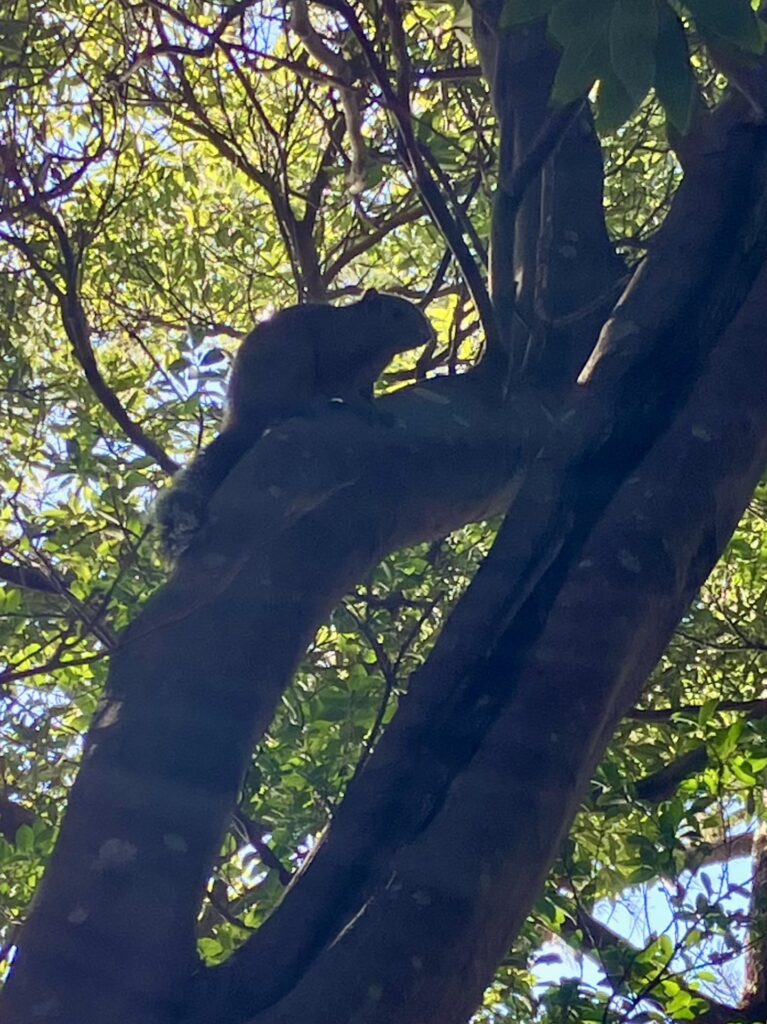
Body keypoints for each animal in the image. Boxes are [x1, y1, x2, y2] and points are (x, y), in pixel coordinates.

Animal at [152, 288, 434, 561]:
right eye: (396, 313)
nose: (427, 335)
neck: (375, 345)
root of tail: (246, 417)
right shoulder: (337, 361)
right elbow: (346, 391)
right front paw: (365, 411)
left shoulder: (367, 379)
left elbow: (365, 395)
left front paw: (376, 410)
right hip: (291, 363)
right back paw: (310, 407)